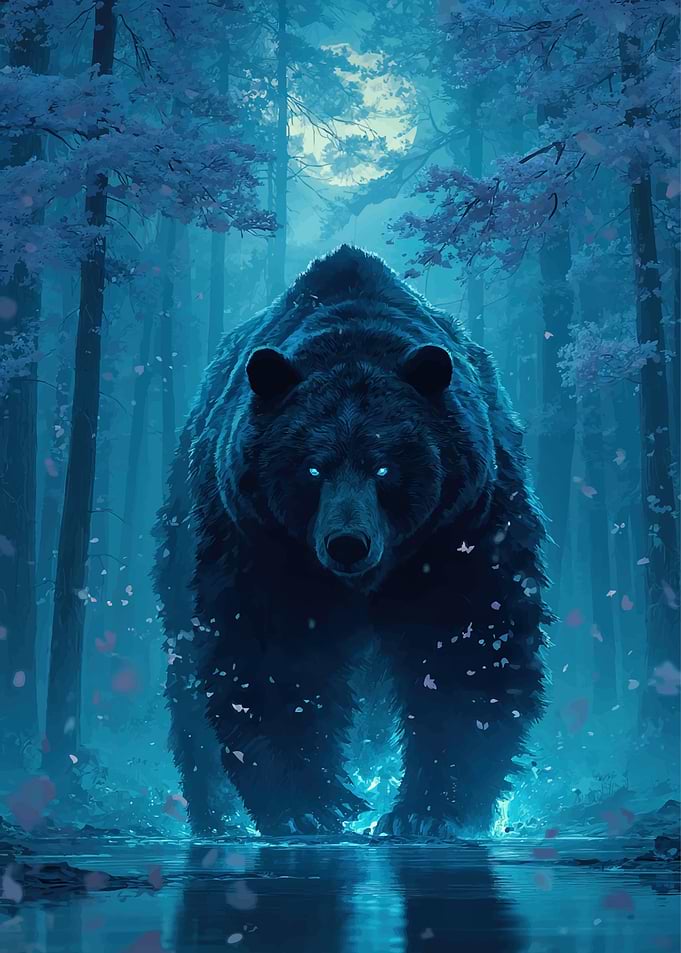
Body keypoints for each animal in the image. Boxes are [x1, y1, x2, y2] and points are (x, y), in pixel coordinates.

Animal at [154, 244, 550, 838]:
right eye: (312, 468)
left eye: (385, 467)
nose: (347, 544)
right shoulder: (258, 542)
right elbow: (269, 656)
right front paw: (308, 805)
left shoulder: (464, 529)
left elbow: (468, 644)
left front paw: (428, 810)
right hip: (179, 539)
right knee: (186, 684)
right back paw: (215, 816)